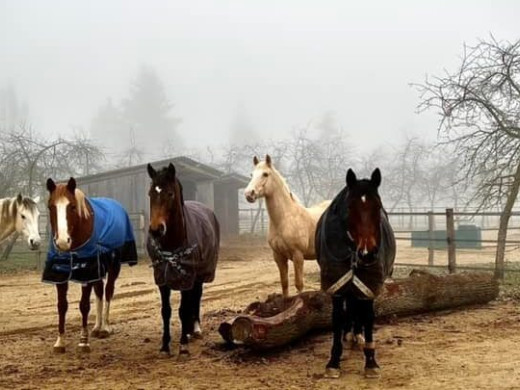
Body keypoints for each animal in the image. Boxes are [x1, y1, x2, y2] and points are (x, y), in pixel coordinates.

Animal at [42, 177, 137, 354]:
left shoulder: (86, 273)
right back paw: (97, 327)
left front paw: (83, 342)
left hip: (114, 266)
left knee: (108, 292)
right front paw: (60, 342)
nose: (62, 242)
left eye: (72, 206)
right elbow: (62, 306)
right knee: (99, 291)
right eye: (51, 206)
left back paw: (105, 328)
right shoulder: (61, 275)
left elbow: (84, 305)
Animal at [145, 162, 220, 356]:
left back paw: (195, 329)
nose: (156, 230)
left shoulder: (187, 277)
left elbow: (183, 309)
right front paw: (165, 345)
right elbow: (166, 311)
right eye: (150, 193)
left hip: (200, 274)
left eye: (170, 193)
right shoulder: (162, 278)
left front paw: (183, 345)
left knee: (197, 296)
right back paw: (188, 331)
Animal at [243, 154, 330, 298]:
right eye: (251, 174)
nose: (249, 194)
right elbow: (284, 283)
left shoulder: (298, 255)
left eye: (265, 174)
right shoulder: (278, 257)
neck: (285, 219)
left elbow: (299, 284)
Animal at [314, 168, 396, 378]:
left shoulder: (368, 283)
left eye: (378, 206)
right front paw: (333, 362)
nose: (367, 253)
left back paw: (357, 335)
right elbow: (337, 318)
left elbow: (367, 316)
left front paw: (371, 363)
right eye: (350, 207)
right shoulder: (337, 283)